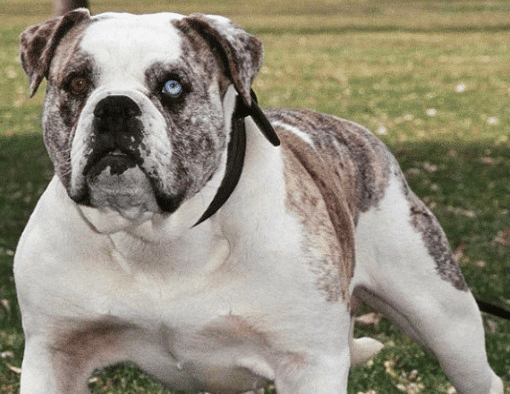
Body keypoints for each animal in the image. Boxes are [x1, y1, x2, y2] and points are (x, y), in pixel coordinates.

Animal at [14, 9, 502, 394]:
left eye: (172, 86)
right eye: (77, 82)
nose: (115, 107)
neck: (156, 238)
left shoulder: (310, 364)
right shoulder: (53, 356)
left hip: (444, 318)